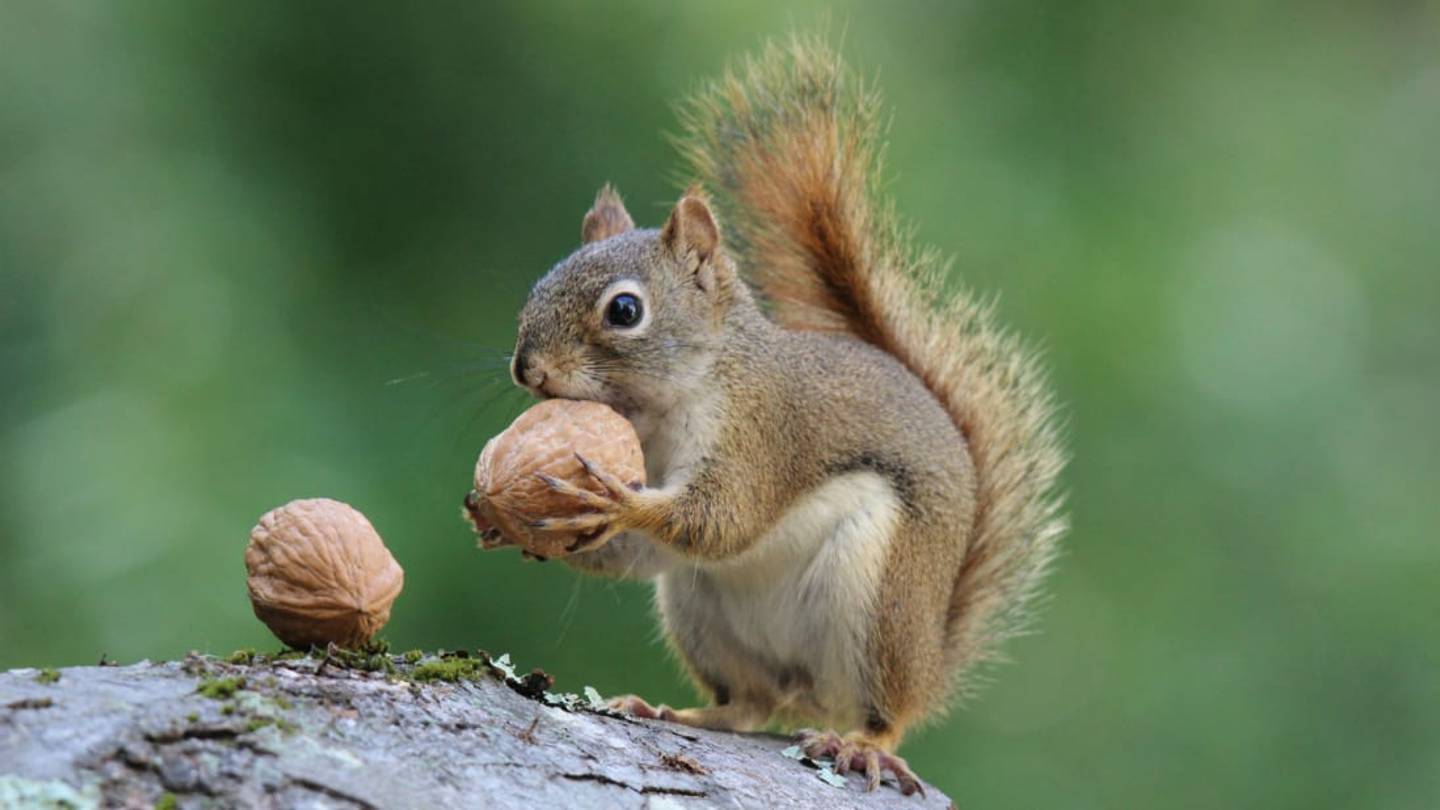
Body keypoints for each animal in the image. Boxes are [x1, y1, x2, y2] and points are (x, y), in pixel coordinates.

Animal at [502, 37, 1066, 796]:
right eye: (539, 285)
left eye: (624, 310)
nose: (526, 369)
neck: (666, 406)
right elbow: (643, 554)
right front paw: (511, 519)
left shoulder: (762, 435)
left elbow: (723, 519)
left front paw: (618, 502)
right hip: (698, 611)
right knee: (751, 704)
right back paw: (672, 710)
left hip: (879, 602)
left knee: (884, 712)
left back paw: (862, 745)